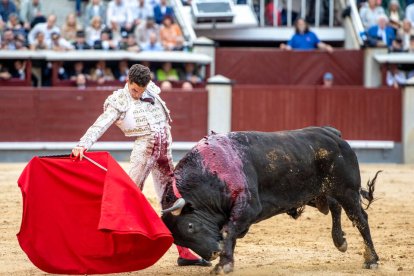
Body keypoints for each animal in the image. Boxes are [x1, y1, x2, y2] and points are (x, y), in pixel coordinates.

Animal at [160, 127, 380, 274]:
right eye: (178, 240)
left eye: (190, 227)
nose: (212, 254)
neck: (210, 173)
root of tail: (333, 134)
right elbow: (229, 233)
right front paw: (225, 261)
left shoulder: (248, 206)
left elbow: (228, 230)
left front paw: (223, 265)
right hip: (314, 193)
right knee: (334, 207)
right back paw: (340, 241)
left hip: (347, 190)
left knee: (361, 219)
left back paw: (371, 259)